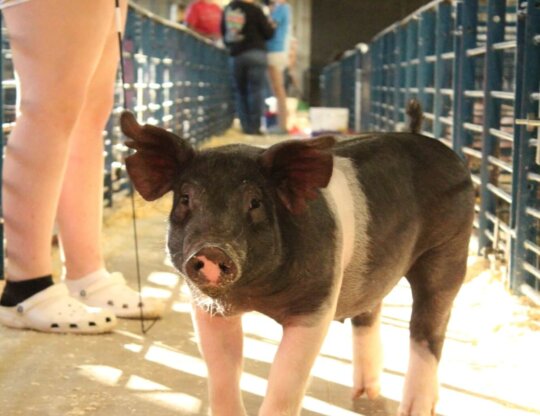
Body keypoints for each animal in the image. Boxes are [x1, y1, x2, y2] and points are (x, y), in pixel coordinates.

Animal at [121, 101, 472, 416]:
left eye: (255, 202)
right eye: (185, 198)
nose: (210, 250)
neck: (253, 294)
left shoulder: (315, 304)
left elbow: (284, 380)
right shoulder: (208, 307)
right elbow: (223, 375)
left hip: (450, 248)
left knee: (429, 328)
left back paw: (415, 409)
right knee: (369, 310)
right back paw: (365, 393)